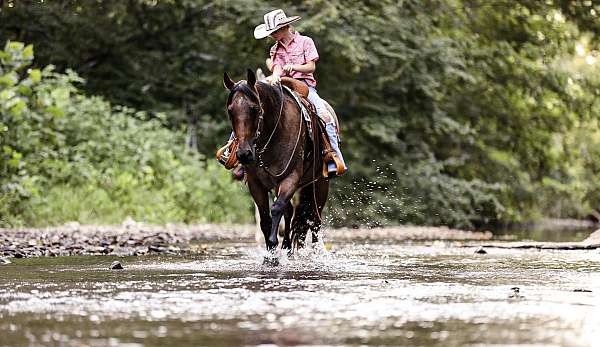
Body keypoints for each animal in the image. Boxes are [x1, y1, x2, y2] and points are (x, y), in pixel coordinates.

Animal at [224, 69, 330, 262]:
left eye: (255, 108)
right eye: (230, 110)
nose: (244, 154)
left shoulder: (291, 178)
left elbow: (277, 209)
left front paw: (273, 249)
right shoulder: (256, 183)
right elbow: (265, 218)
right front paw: (270, 252)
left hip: (319, 184)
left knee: (315, 220)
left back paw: (316, 253)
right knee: (293, 214)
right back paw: (288, 248)